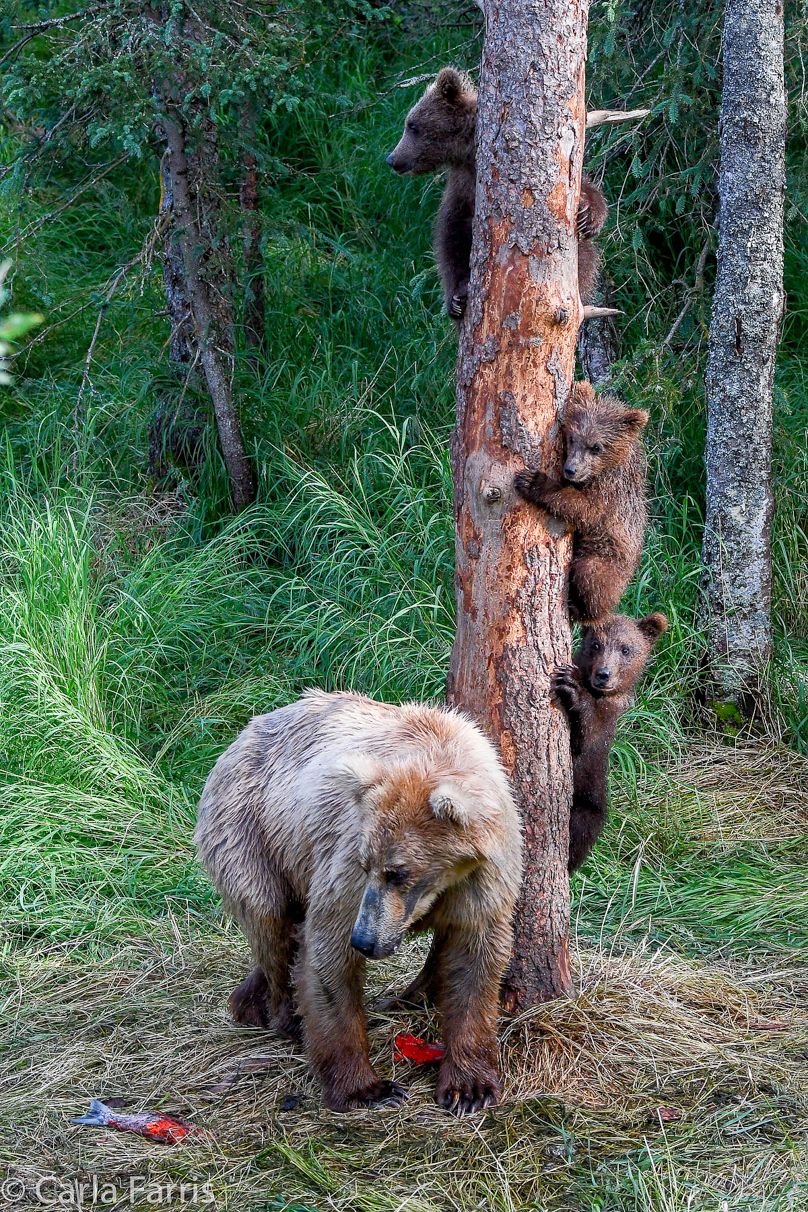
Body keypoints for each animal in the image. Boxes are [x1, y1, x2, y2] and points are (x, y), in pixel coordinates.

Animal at [196, 693, 525, 1115]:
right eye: (370, 864)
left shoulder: (482, 879)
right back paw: (284, 1017)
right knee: (272, 926)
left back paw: (249, 1001)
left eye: (398, 872)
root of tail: (240, 736)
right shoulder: (347, 857)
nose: (365, 940)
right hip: (252, 833)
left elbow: (474, 961)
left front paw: (468, 1088)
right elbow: (329, 951)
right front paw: (368, 1088)